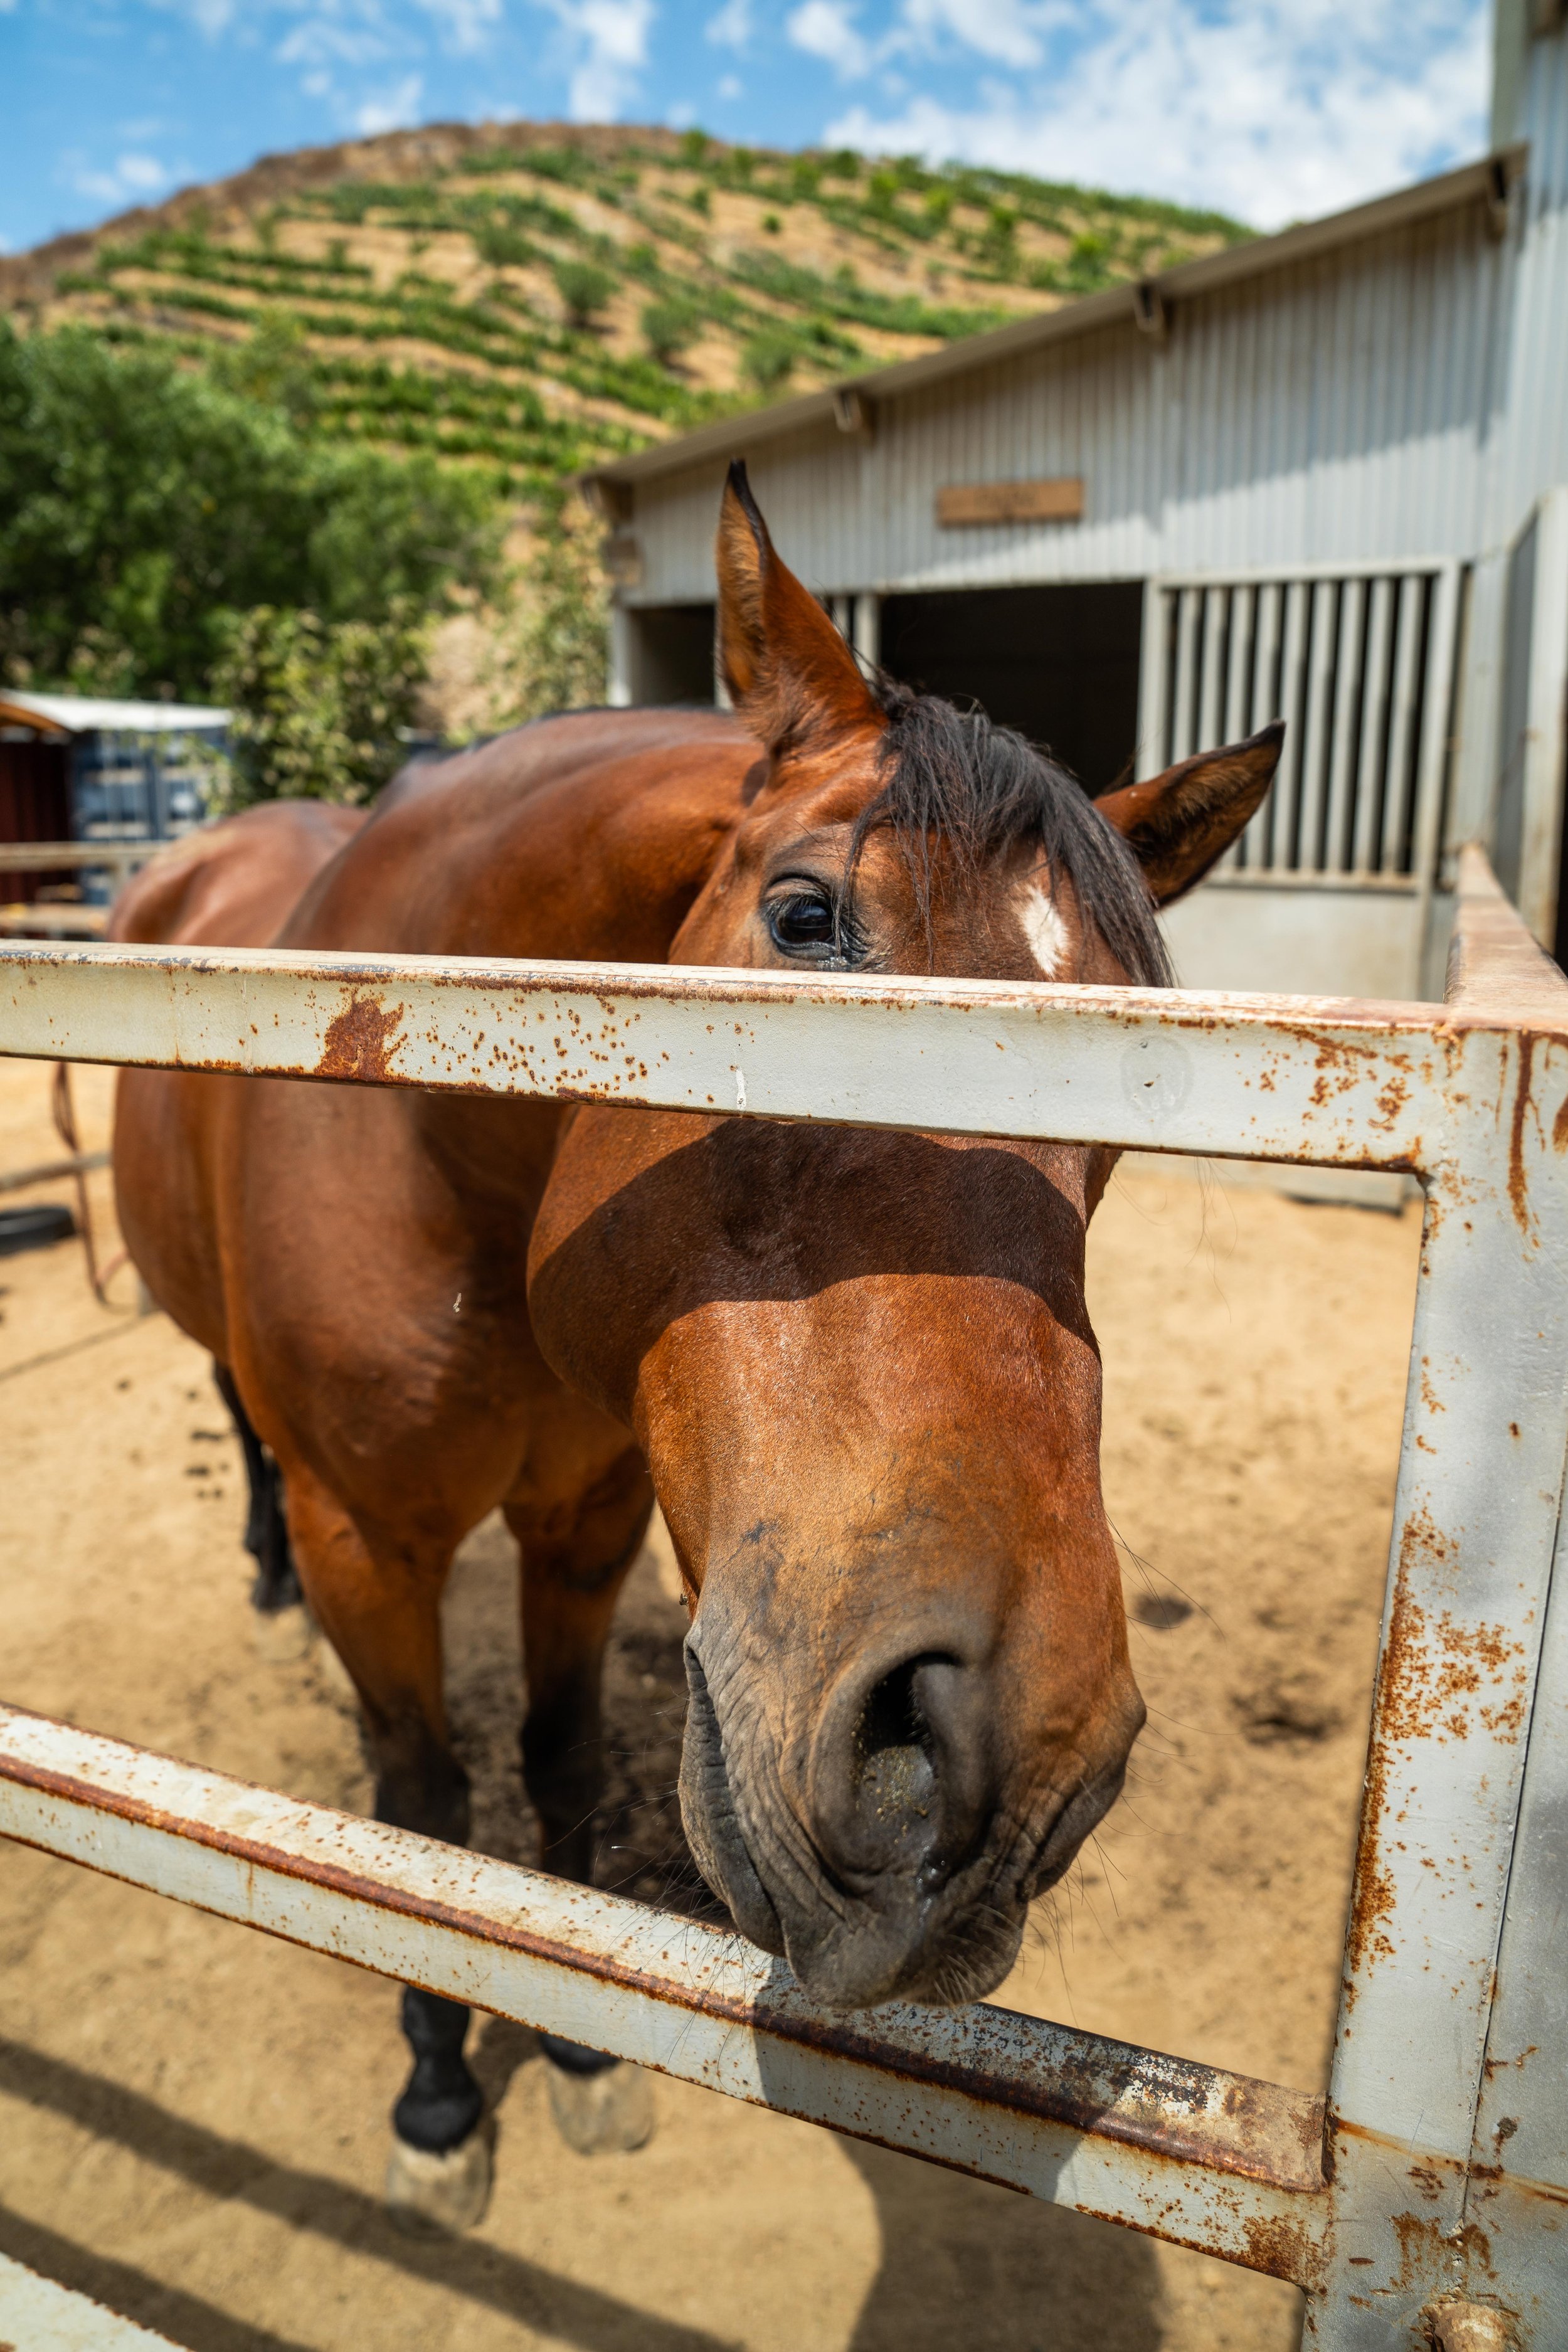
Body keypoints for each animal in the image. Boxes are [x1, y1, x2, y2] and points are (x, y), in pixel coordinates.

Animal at [111, 460, 1281, 2229]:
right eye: (803, 917)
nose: (1000, 1764)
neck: (428, 1138)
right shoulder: (368, 1538)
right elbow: (417, 1812)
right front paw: (439, 2095)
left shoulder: (586, 1522)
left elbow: (558, 1767)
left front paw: (570, 2045)